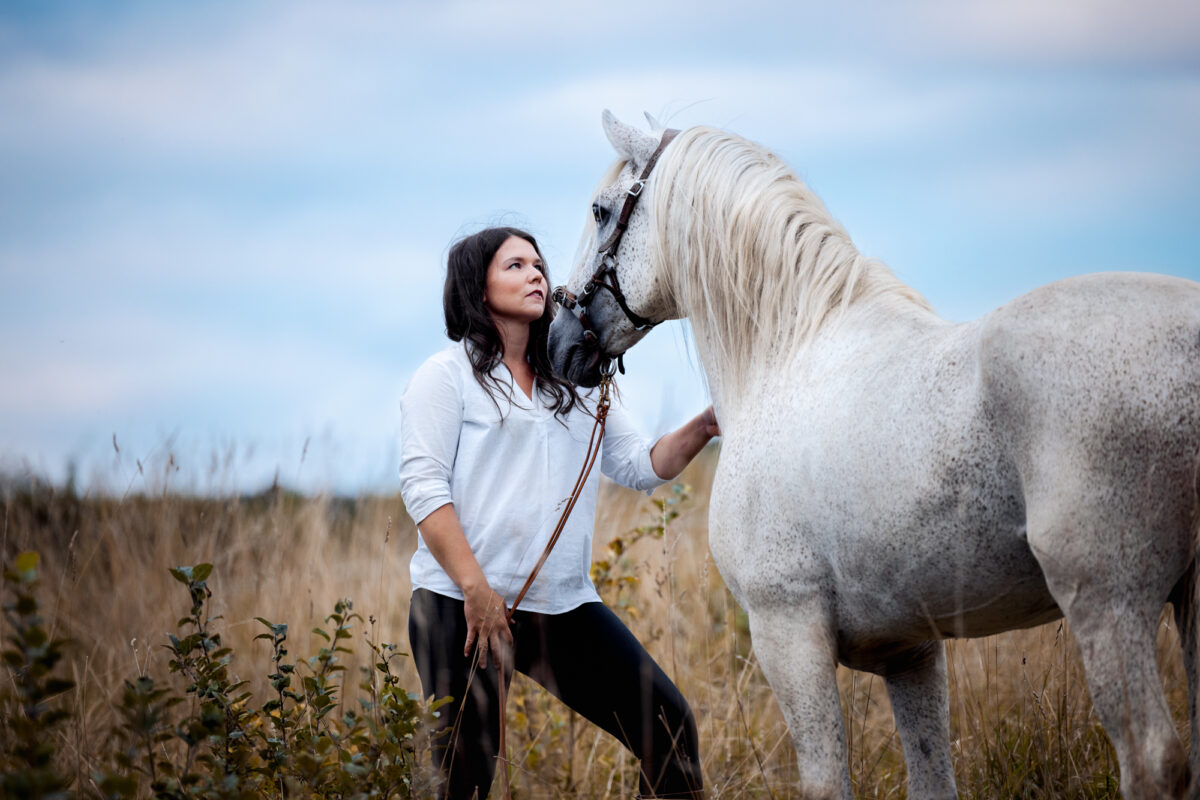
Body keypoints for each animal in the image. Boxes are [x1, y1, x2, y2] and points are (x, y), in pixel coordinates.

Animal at [546, 111, 1200, 800]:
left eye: (600, 210)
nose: (557, 344)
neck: (788, 352)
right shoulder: (910, 650)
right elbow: (933, 779)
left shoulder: (788, 635)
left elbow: (827, 782)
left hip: (1108, 599)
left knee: (1152, 759)